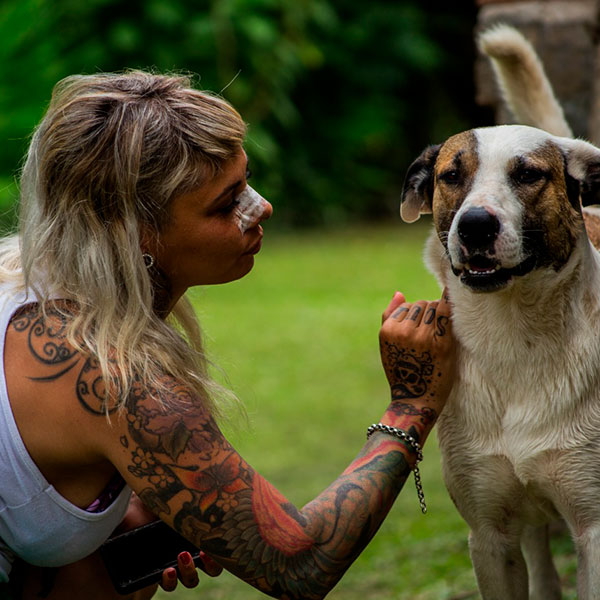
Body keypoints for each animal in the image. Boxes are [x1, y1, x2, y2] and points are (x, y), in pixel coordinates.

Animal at [400, 23, 600, 600]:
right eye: (451, 175)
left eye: (528, 174)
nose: (474, 226)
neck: (515, 333)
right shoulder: (489, 533)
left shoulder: (593, 527)